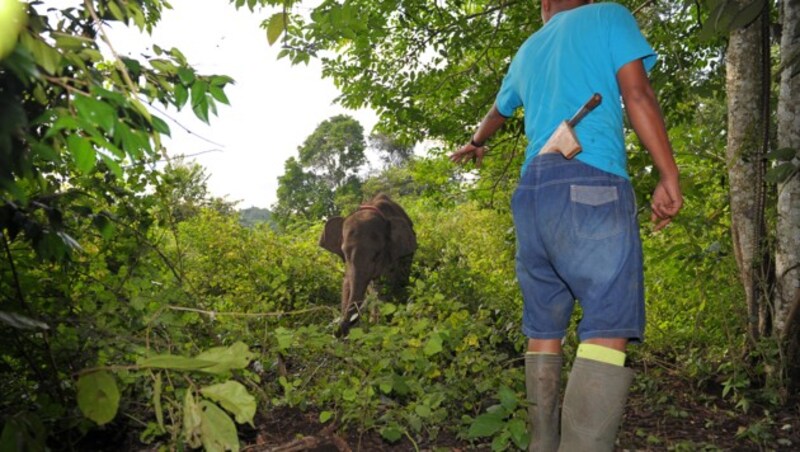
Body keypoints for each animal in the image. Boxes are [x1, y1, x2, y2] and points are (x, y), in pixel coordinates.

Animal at [318, 192, 418, 338]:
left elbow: (385, 284)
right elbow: (347, 282)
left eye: (377, 254)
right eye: (345, 254)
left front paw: (382, 326)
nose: (336, 332)